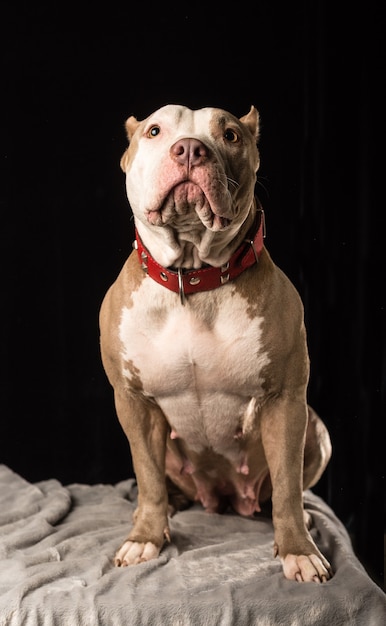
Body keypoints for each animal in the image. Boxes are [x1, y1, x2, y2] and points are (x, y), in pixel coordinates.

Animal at [99, 103, 332, 580]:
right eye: (155, 131)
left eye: (230, 135)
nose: (190, 148)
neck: (193, 280)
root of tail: (223, 496)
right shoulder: (133, 402)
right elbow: (147, 476)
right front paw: (146, 537)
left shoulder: (285, 401)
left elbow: (287, 486)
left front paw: (298, 548)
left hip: (316, 429)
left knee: (285, 488)